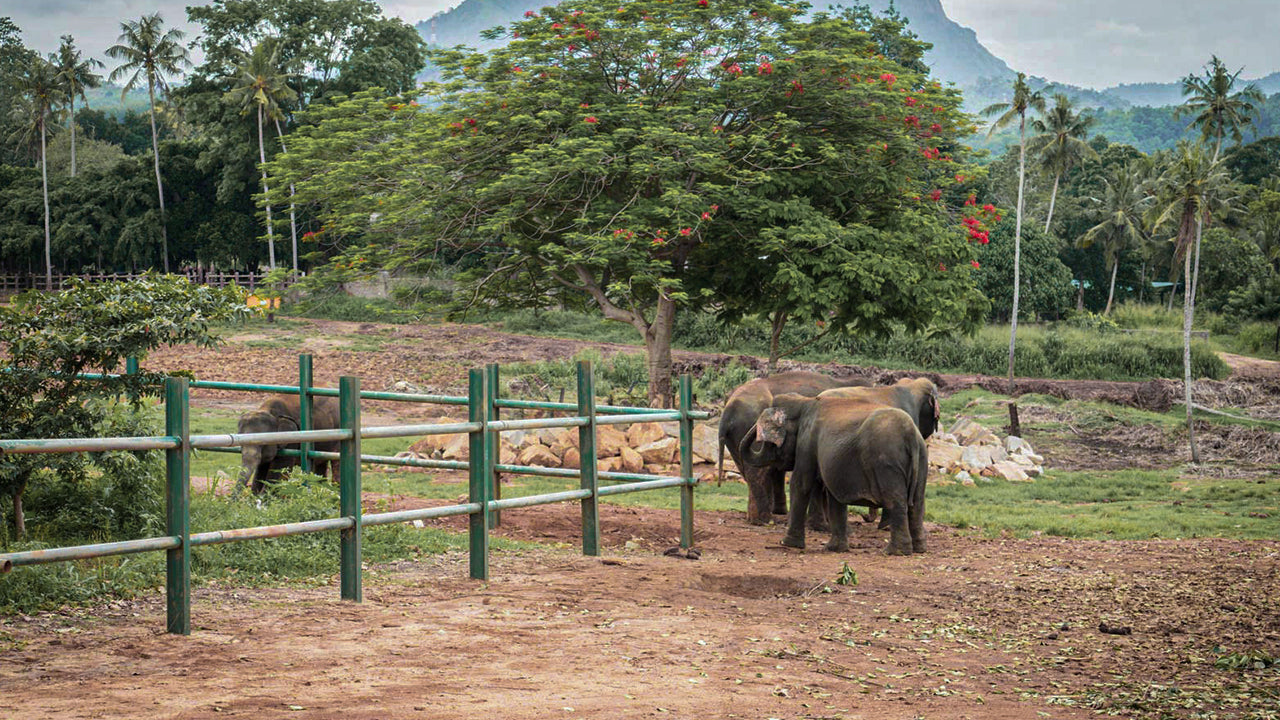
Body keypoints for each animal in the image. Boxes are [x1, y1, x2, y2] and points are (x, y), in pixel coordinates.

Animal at [717, 371, 870, 525]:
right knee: (758, 472)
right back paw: (763, 520)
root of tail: (727, 411)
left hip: (735, 438)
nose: (865, 518)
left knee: (749, 469)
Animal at [740, 394, 929, 555]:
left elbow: (800, 484)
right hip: (922, 460)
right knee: (917, 502)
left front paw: (787, 544)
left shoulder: (807, 442)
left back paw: (894, 552)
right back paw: (919, 549)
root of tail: (911, 434)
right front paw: (835, 549)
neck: (804, 401)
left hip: (887, 463)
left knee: (895, 502)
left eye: (769, 443)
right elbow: (834, 497)